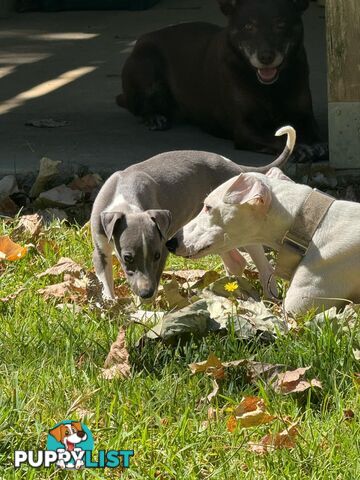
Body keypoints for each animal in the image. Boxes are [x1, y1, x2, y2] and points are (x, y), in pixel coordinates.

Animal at [90, 125, 296, 302]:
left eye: (156, 256)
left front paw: (144, 311)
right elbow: (106, 281)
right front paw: (112, 306)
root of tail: (234, 165)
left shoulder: (162, 247)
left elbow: (154, 277)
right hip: (215, 233)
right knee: (236, 263)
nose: (145, 293)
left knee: (264, 267)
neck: (124, 195)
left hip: (242, 229)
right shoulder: (100, 251)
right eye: (128, 257)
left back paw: (270, 299)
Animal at [118, 0, 326, 162]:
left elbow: (317, 133)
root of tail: (142, 39)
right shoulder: (245, 129)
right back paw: (154, 117)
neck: (270, 86)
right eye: (249, 27)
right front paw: (299, 148)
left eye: (281, 24)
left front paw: (316, 144)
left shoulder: (305, 115)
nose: (266, 57)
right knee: (137, 107)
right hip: (147, 65)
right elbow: (278, 139)